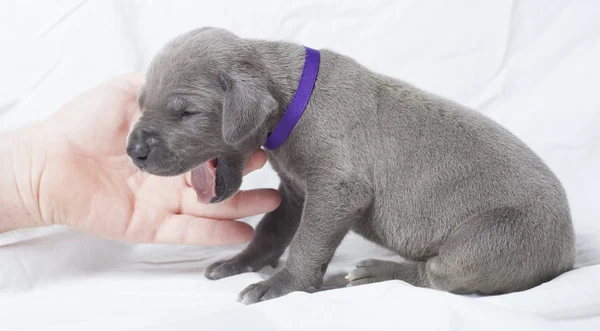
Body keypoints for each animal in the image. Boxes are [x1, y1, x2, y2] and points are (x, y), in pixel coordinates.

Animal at [126, 27, 576, 304]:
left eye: (186, 112)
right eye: (140, 101)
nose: (133, 151)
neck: (292, 97)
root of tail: (568, 255)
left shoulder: (337, 191)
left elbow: (307, 242)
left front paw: (282, 285)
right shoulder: (296, 192)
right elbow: (272, 230)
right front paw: (240, 263)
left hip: (491, 240)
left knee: (440, 276)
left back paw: (373, 274)